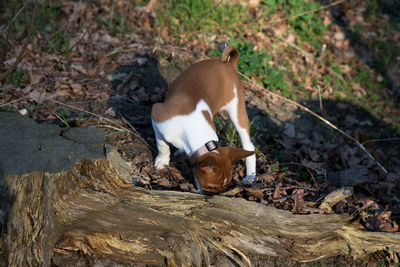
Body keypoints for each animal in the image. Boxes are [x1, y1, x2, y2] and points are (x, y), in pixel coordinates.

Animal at [150, 45, 256, 193]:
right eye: (211, 186)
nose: (212, 196)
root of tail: (227, 64)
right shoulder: (157, 115)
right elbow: (162, 145)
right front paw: (162, 160)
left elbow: (163, 145)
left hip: (237, 112)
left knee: (249, 145)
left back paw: (250, 176)